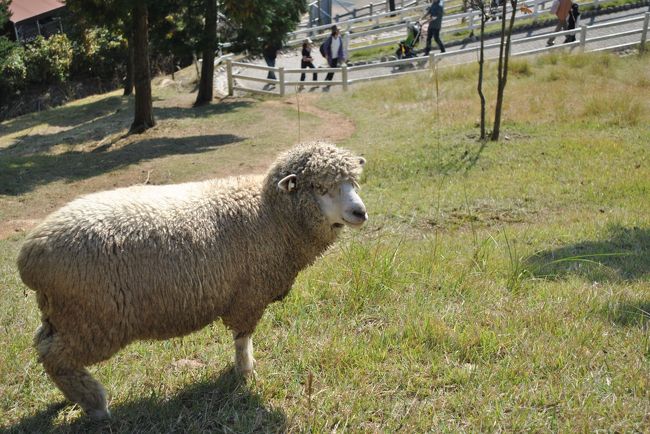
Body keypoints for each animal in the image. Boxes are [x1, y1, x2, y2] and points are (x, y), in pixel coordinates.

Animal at [16, 141, 370, 418]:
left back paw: (72, 398)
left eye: (354, 182)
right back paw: (95, 403)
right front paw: (245, 372)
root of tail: (29, 254)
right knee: (55, 356)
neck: (268, 213)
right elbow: (243, 337)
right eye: (319, 187)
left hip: (63, 315)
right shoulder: (249, 294)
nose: (360, 213)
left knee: (42, 343)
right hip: (94, 320)